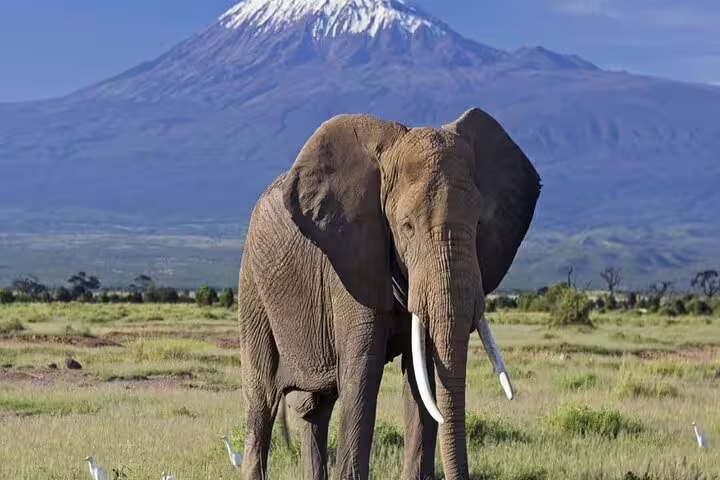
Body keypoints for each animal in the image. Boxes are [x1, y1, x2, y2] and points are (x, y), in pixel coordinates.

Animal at [237, 107, 541, 480]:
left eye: (479, 224)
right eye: (406, 227)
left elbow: (422, 377)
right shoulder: (352, 262)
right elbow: (362, 374)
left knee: (317, 409)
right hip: (252, 285)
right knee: (262, 398)